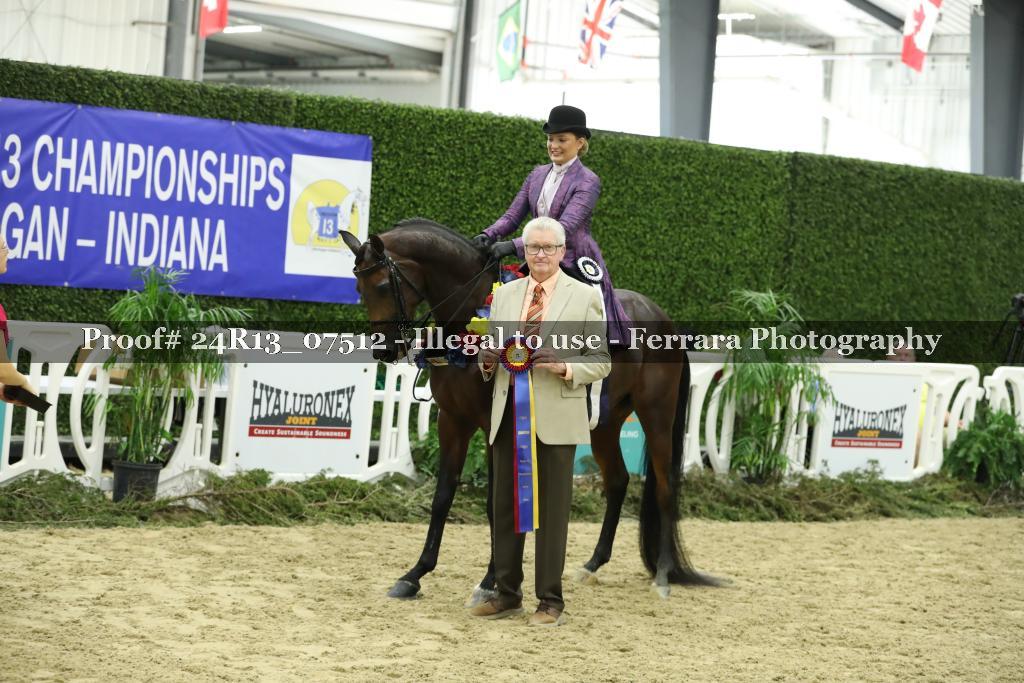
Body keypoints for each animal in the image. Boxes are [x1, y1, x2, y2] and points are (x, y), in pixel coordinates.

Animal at [341, 219, 718, 600]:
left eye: (383, 285)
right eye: (358, 287)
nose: (384, 351)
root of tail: (663, 318)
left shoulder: (494, 426)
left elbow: (496, 503)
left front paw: (490, 582)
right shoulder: (453, 422)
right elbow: (443, 496)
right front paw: (414, 575)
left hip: (656, 416)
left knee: (665, 487)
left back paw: (664, 575)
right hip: (605, 423)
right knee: (617, 481)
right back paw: (592, 565)